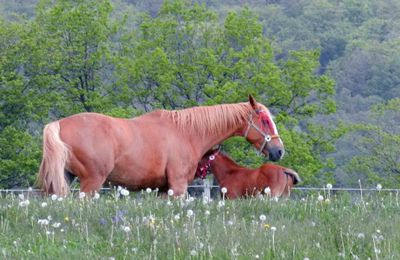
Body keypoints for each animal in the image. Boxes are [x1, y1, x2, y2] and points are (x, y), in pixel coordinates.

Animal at [36, 95, 282, 195]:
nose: (279, 150)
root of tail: (59, 124)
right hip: (91, 182)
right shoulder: (178, 186)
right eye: (265, 120)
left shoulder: (165, 189)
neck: (187, 132)